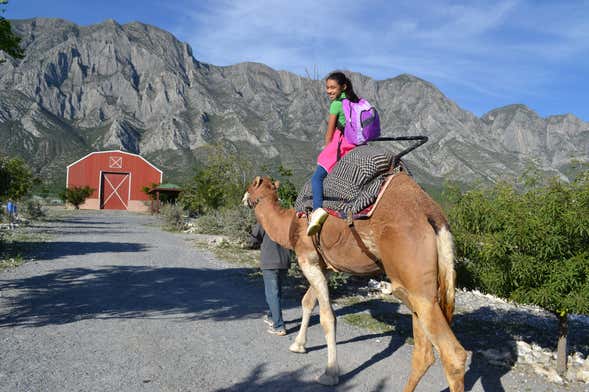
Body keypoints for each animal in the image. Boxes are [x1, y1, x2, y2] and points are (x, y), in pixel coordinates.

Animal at [241, 173, 466, 390]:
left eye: (251, 185)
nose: (244, 198)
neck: (289, 223)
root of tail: (434, 216)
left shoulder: (308, 259)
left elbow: (327, 317)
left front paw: (330, 374)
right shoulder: (325, 266)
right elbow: (307, 302)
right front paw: (298, 345)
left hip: (415, 278)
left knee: (453, 355)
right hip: (416, 286)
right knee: (424, 352)